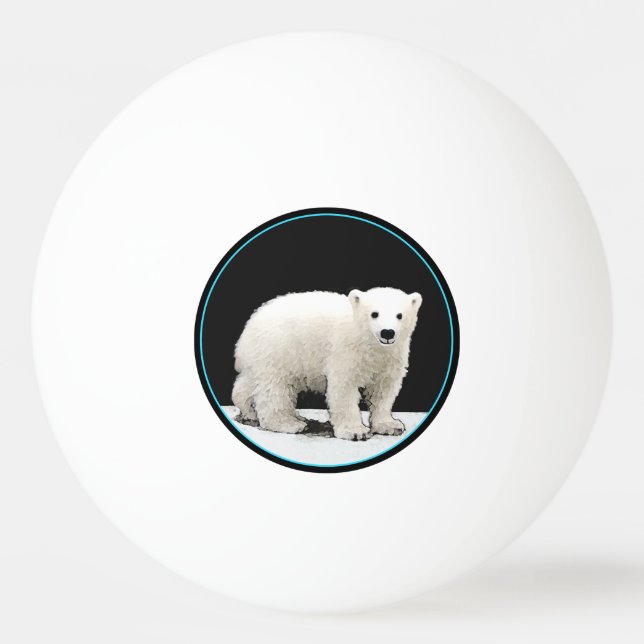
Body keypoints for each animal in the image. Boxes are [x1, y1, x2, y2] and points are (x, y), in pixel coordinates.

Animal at [231, 287, 422, 441]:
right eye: (374, 314)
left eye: (399, 315)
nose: (387, 332)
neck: (370, 344)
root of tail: (249, 326)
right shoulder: (346, 350)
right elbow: (344, 387)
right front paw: (356, 431)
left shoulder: (391, 358)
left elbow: (383, 390)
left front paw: (391, 425)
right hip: (279, 349)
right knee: (275, 388)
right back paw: (289, 423)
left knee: (250, 383)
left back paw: (251, 411)